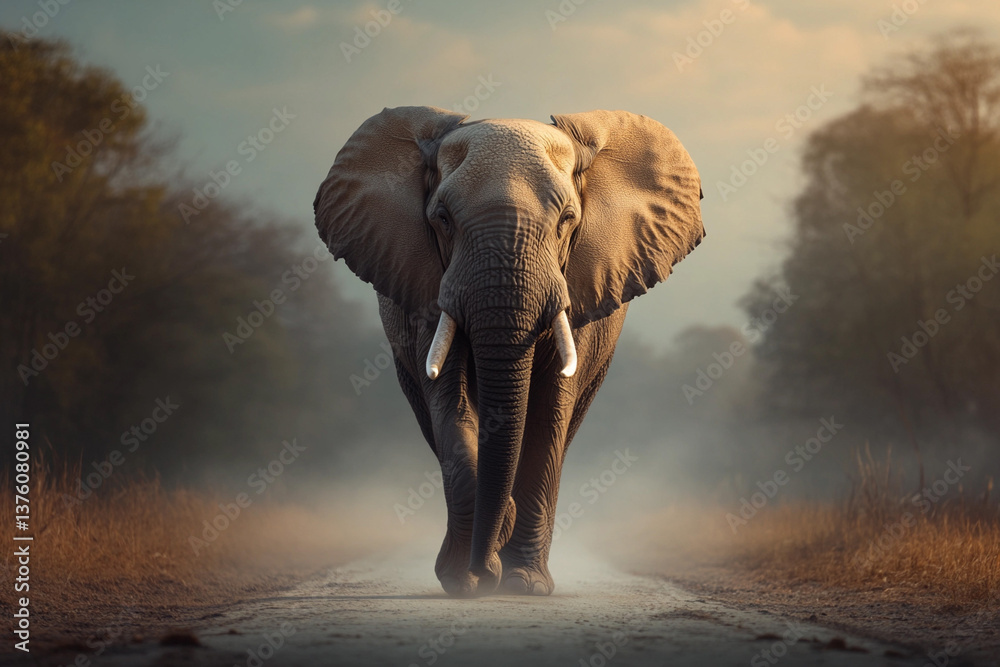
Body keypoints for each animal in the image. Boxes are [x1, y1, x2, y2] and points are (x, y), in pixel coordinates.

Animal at [314, 106, 704, 597]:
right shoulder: (429, 287)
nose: (484, 571)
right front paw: (465, 579)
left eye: (567, 219)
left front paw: (523, 584)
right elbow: (450, 401)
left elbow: (548, 412)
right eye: (442, 218)